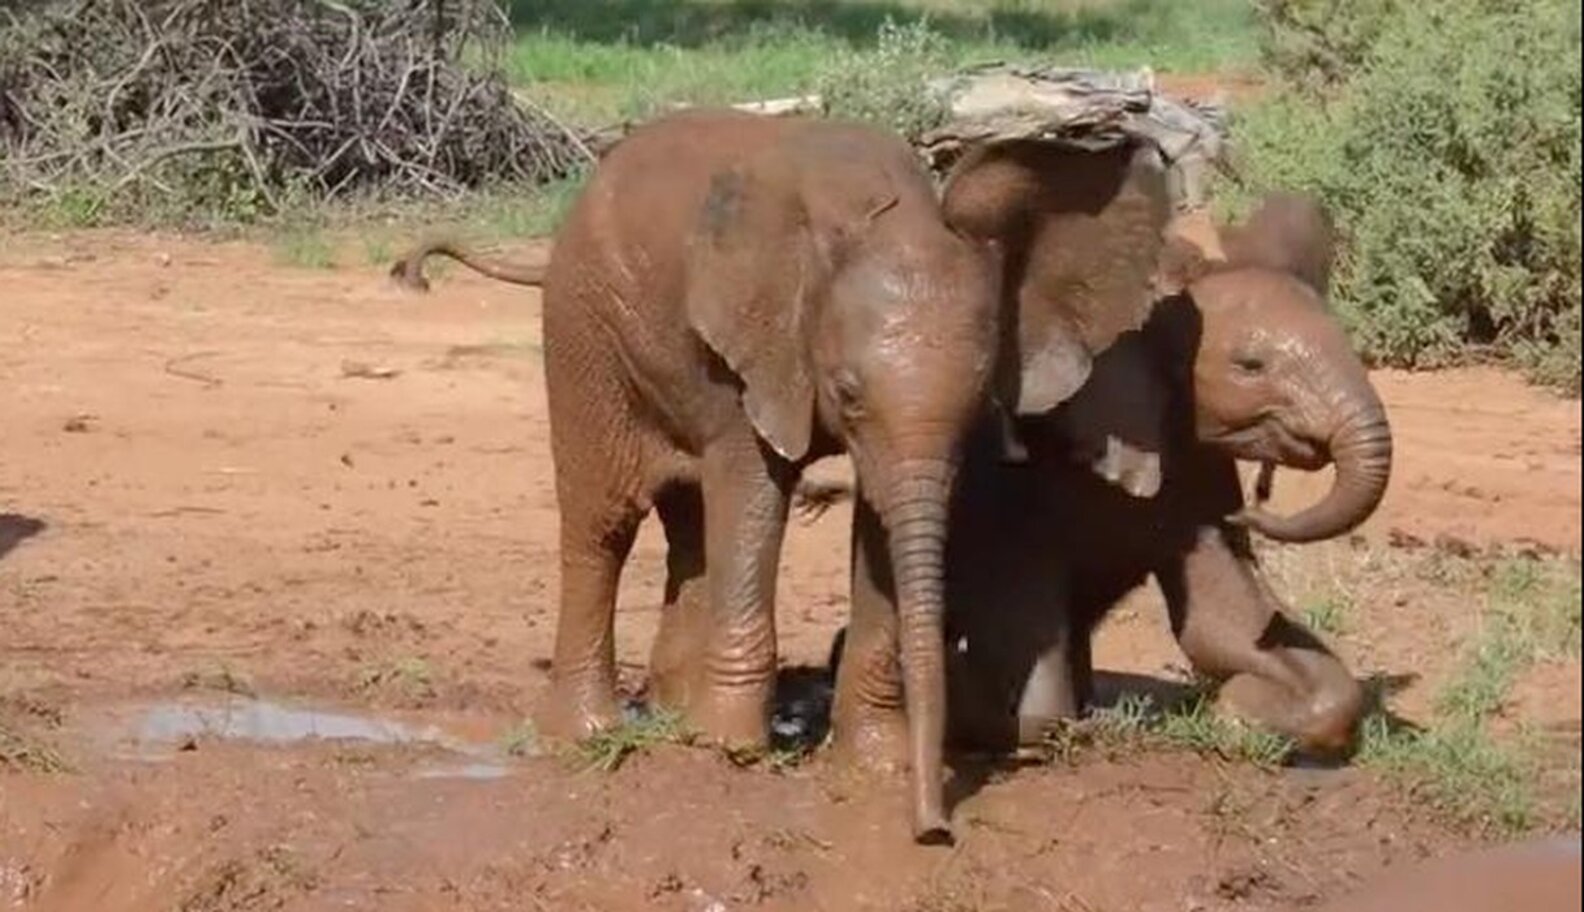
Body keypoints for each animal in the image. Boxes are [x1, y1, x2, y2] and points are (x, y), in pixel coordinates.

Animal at [393, 122, 1174, 843]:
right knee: (604, 520)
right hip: (582, 327)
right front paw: (731, 752)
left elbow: (877, 525)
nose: (934, 830)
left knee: (689, 527)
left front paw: (874, 766)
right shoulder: (757, 346)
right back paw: (589, 733)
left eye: (983, 393)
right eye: (847, 392)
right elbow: (753, 490)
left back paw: (674, 714)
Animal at [804, 191, 1390, 757]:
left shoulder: (1191, 459)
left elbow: (1226, 623)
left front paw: (1234, 714)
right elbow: (1039, 694)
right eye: (1251, 365)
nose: (1253, 507)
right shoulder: (1008, 484)